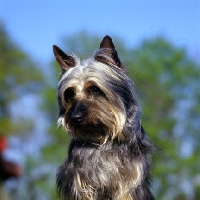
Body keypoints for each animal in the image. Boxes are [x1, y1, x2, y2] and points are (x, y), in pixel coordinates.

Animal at [52, 35, 155, 199]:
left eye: (95, 89)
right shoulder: (82, 183)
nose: (74, 117)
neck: (104, 138)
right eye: (69, 94)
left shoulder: (129, 182)